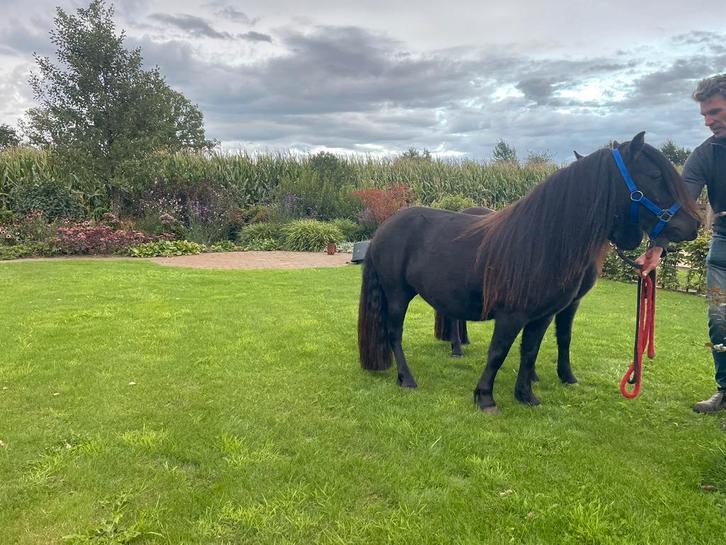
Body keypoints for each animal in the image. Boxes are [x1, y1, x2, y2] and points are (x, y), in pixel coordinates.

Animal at [358, 133, 701, 412]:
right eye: (654, 175)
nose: (693, 225)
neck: (543, 241)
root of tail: (384, 228)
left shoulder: (544, 315)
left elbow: (531, 350)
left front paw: (526, 394)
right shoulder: (512, 315)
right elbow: (498, 352)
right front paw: (485, 397)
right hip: (398, 295)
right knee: (394, 333)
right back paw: (407, 378)